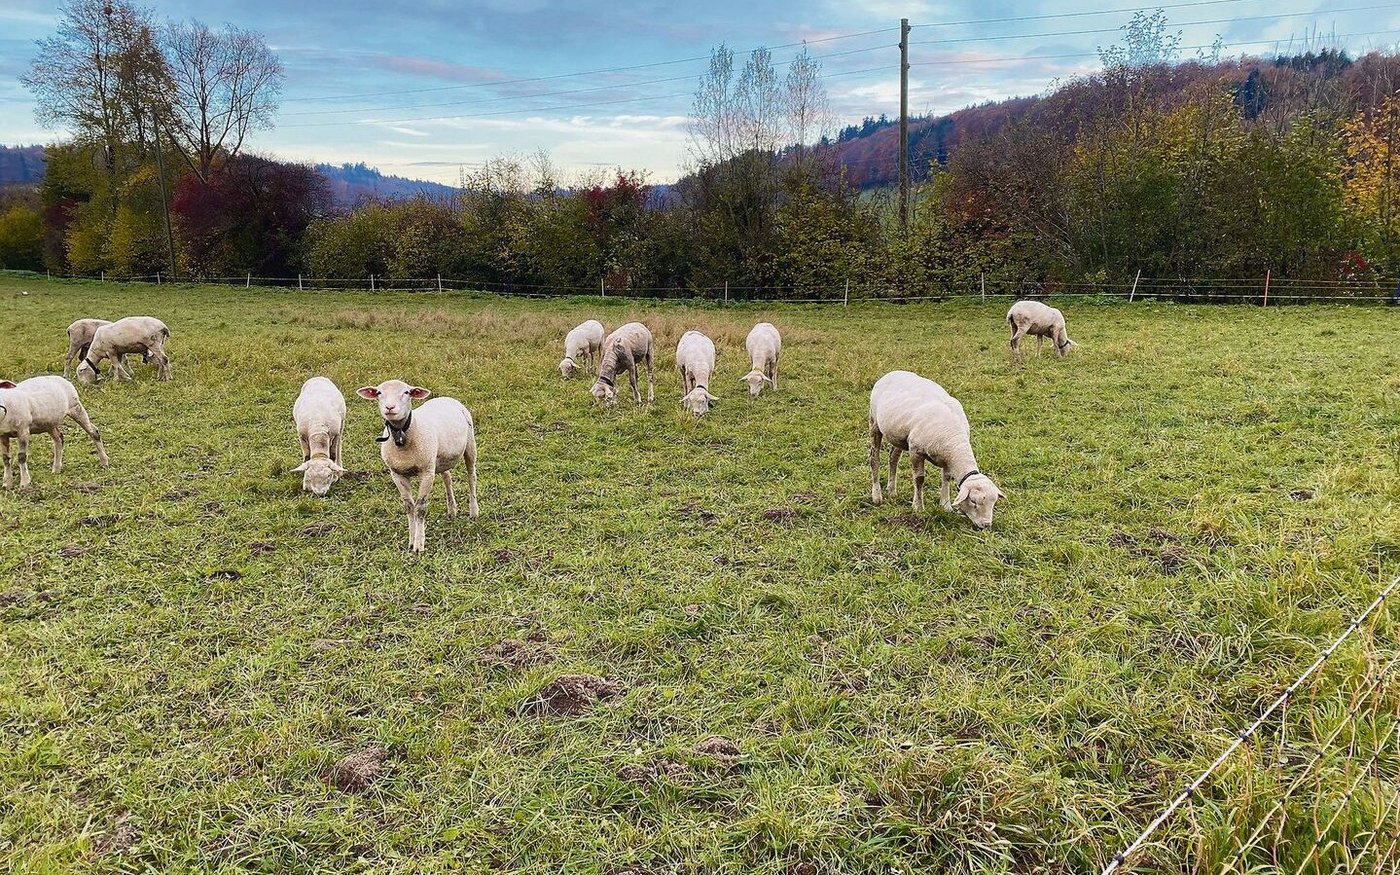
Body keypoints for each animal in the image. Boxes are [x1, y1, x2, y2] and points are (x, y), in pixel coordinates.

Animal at [356, 379, 478, 552]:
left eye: (407, 392)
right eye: (379, 392)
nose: (389, 408)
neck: (402, 437)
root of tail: (446, 398)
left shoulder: (426, 472)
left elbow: (420, 508)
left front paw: (419, 544)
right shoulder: (397, 474)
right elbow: (409, 506)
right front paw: (411, 540)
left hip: (470, 445)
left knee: (471, 476)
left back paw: (474, 511)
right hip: (440, 459)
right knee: (447, 478)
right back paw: (451, 510)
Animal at [868, 370, 1004, 529]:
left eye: (993, 503)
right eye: (973, 501)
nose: (986, 525)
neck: (954, 440)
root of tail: (892, 372)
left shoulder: (947, 458)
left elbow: (947, 478)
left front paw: (945, 506)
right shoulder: (916, 450)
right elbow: (919, 479)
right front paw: (918, 507)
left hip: (897, 436)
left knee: (893, 458)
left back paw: (892, 491)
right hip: (874, 422)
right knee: (874, 459)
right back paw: (877, 496)